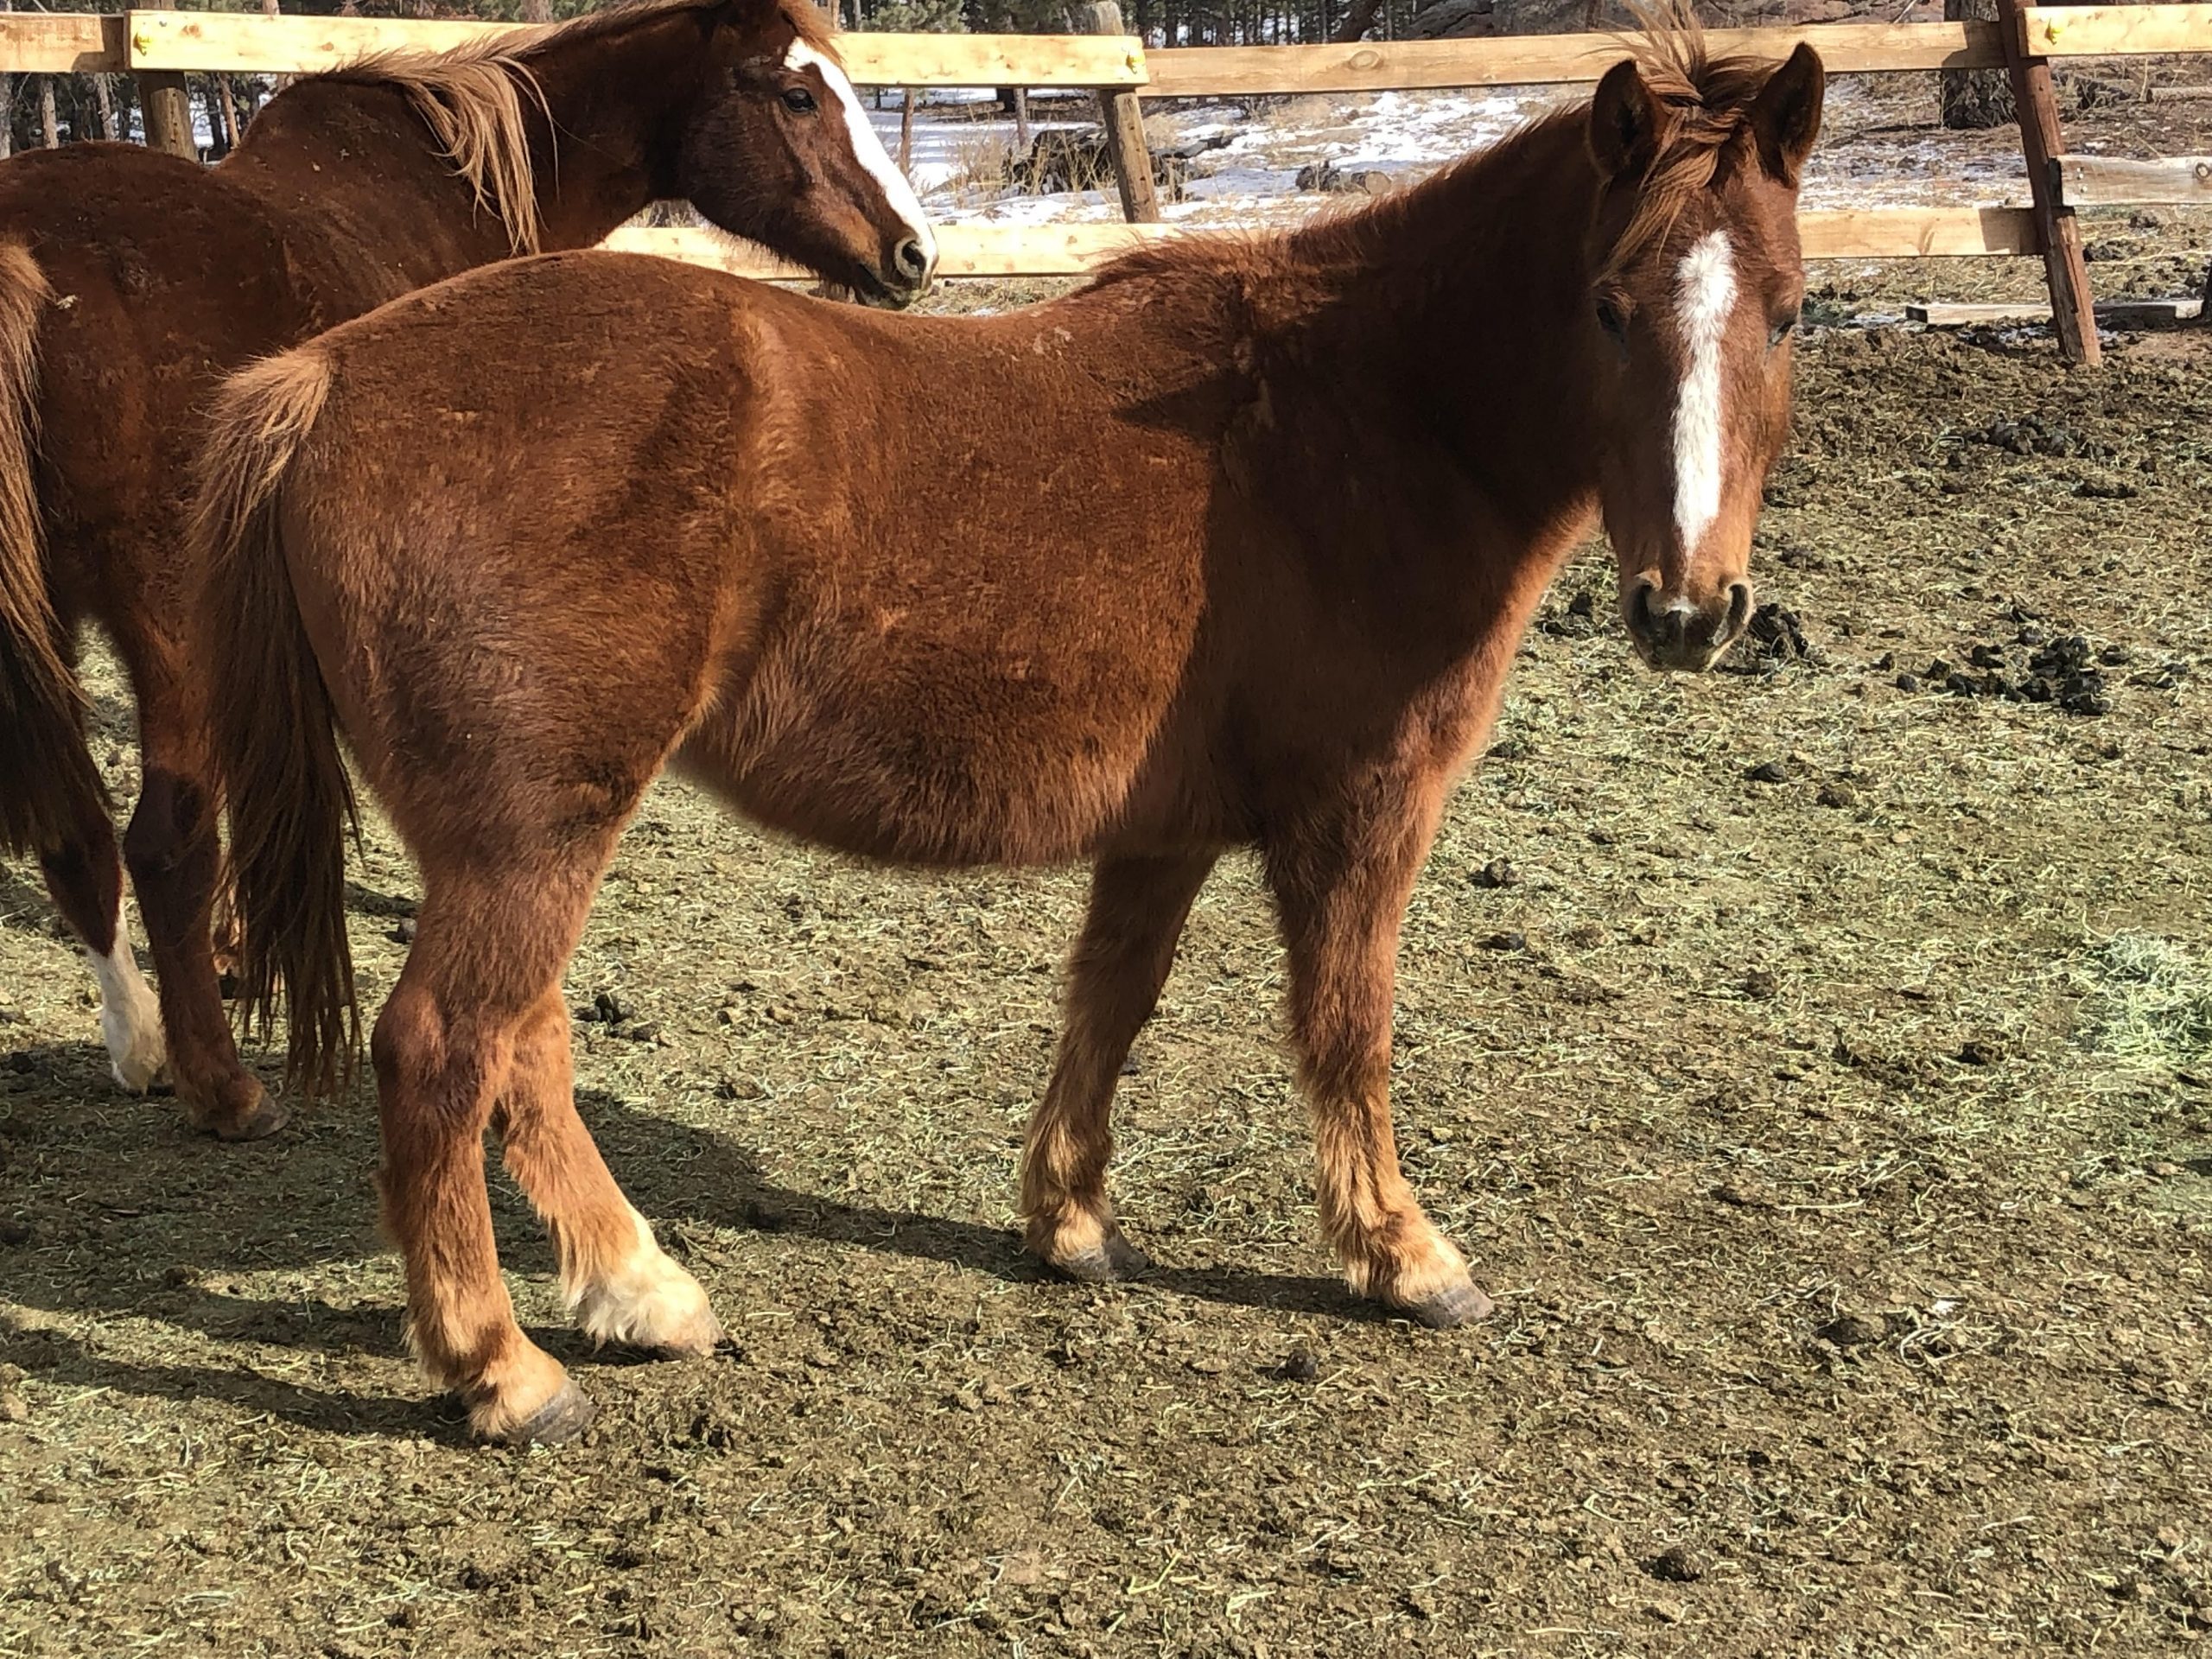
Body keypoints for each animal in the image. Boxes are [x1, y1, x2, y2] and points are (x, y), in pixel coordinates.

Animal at [0, 0, 933, 1141]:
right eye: (797, 94)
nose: (911, 252)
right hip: (167, 618)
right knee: (162, 844)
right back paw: (222, 1086)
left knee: (77, 839)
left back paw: (139, 1043)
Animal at [190, 32, 1822, 1451]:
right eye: (1608, 304)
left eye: (1791, 307)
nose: (1691, 611)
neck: (1356, 412)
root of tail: (322, 380)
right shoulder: (1366, 811)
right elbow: (1346, 1033)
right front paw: (1405, 1258)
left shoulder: (1165, 828)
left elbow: (1112, 1001)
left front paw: (1069, 1222)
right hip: (530, 834)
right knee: (444, 1052)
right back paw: (502, 1371)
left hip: (522, 837)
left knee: (522, 1047)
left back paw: (639, 1291)